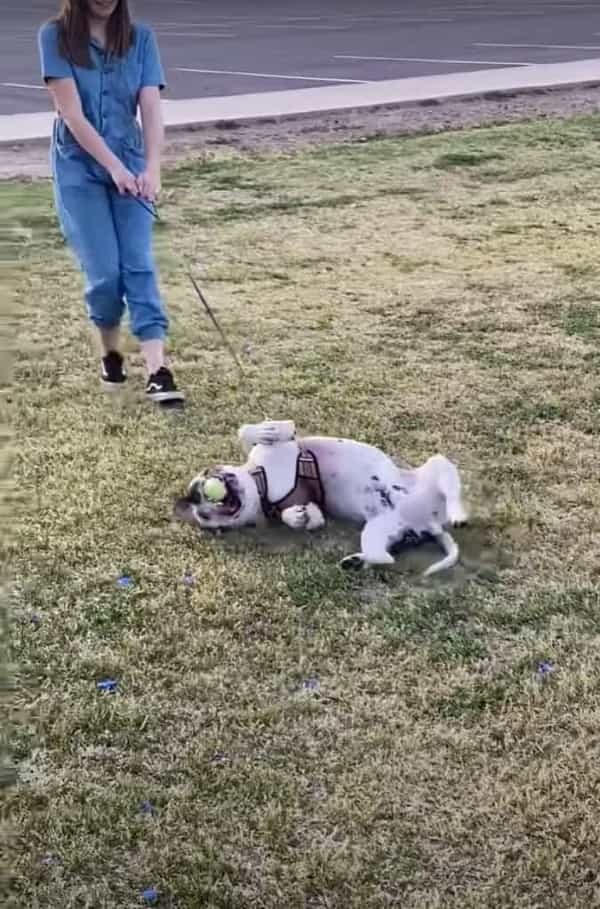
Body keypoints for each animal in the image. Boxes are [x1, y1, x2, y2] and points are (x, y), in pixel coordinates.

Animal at [175, 418, 468, 576]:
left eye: (207, 473)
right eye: (205, 516)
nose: (199, 494)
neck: (261, 483)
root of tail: (428, 522)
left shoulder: (286, 444)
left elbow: (257, 433)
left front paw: (264, 431)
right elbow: (305, 516)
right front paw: (296, 517)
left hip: (437, 466)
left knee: (452, 492)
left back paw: (458, 515)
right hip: (378, 528)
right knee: (385, 557)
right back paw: (356, 562)